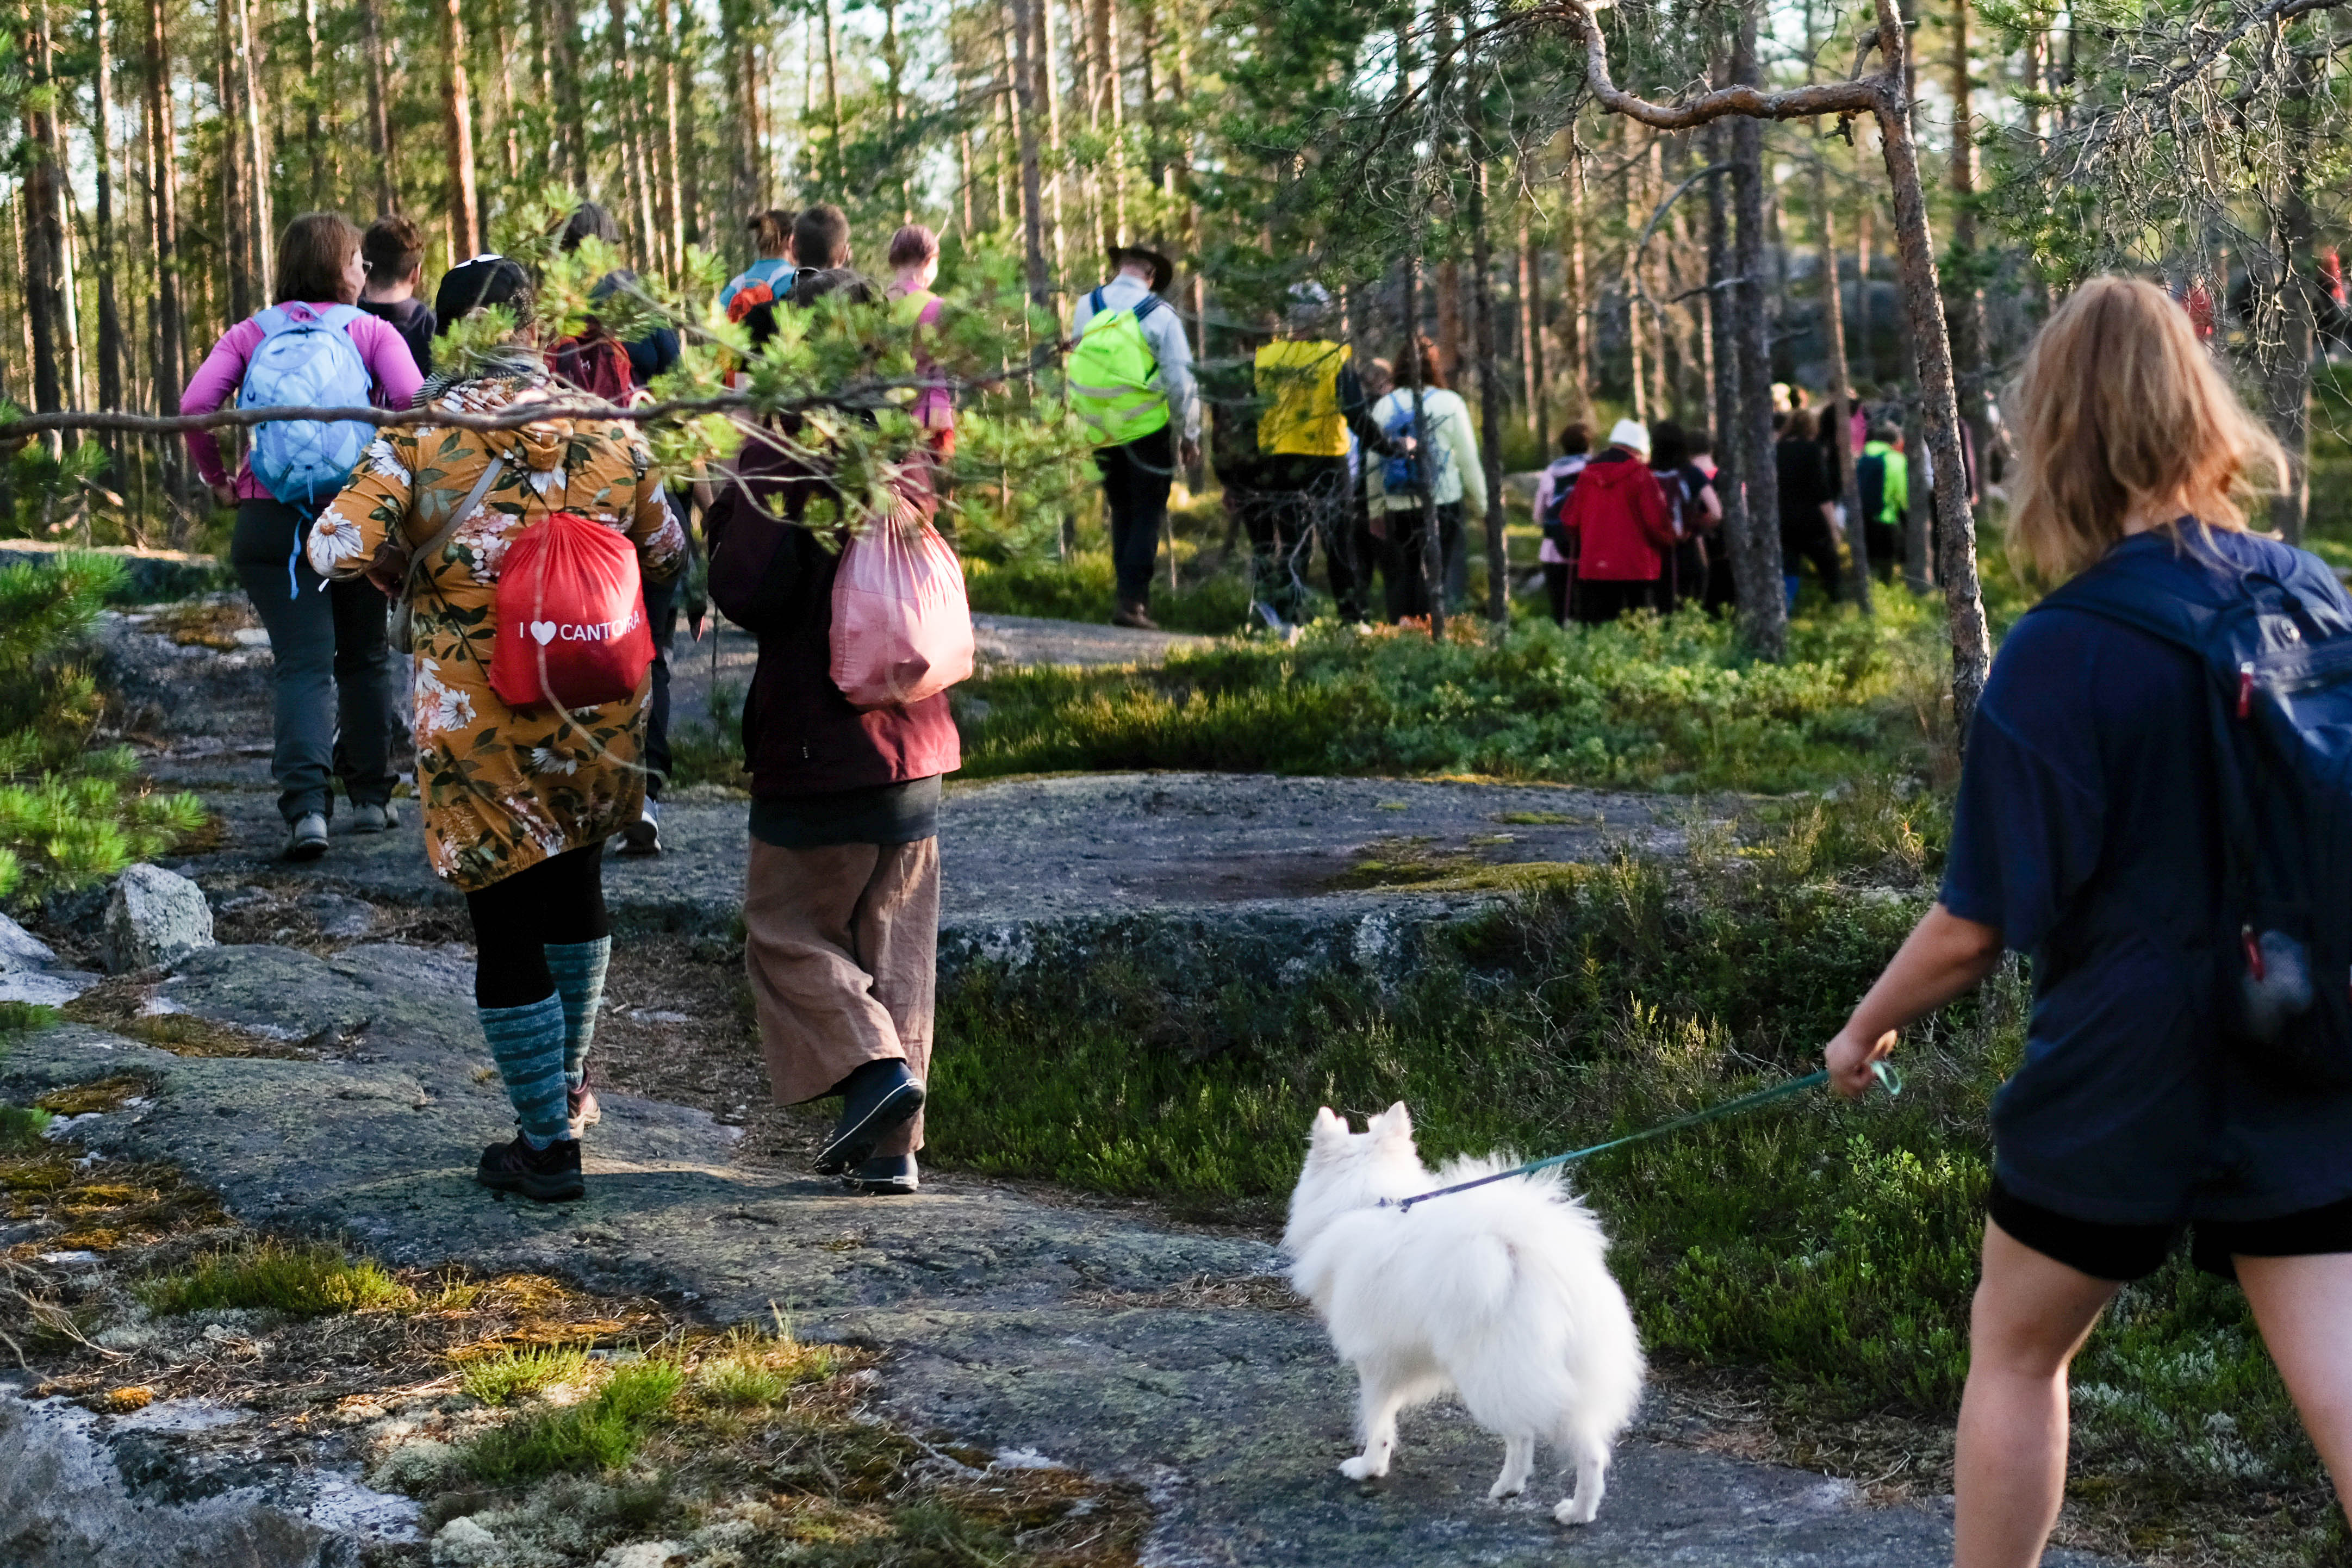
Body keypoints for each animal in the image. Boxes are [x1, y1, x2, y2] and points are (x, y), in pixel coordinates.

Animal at [1279, 1105, 1646, 1523]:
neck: (1370, 1200)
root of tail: (1525, 1255)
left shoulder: (1376, 1361)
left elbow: (1378, 1423)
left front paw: (1368, 1467)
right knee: (1535, 1434)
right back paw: (1511, 1488)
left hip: (1495, 1371)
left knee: (1578, 1449)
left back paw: (1577, 1513)